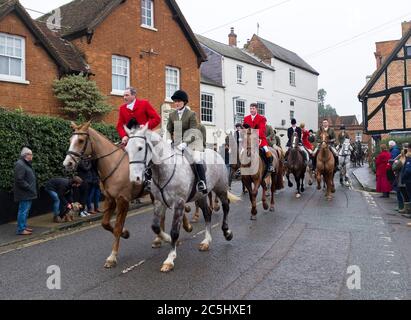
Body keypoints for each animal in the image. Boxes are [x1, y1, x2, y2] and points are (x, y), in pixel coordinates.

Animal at [63, 122, 194, 268]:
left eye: (81, 140)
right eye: (70, 140)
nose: (67, 163)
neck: (113, 164)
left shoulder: (122, 200)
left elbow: (117, 228)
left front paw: (112, 256)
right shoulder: (110, 199)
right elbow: (105, 224)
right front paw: (125, 233)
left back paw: (184, 228)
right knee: (163, 215)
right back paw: (160, 239)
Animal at [125, 125, 241, 272]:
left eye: (140, 148)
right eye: (126, 149)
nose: (134, 179)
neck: (164, 169)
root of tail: (215, 153)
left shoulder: (179, 203)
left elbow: (175, 231)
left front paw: (170, 259)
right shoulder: (158, 202)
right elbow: (155, 227)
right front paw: (167, 239)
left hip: (220, 188)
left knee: (226, 207)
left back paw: (227, 232)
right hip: (201, 196)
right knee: (207, 214)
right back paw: (206, 241)